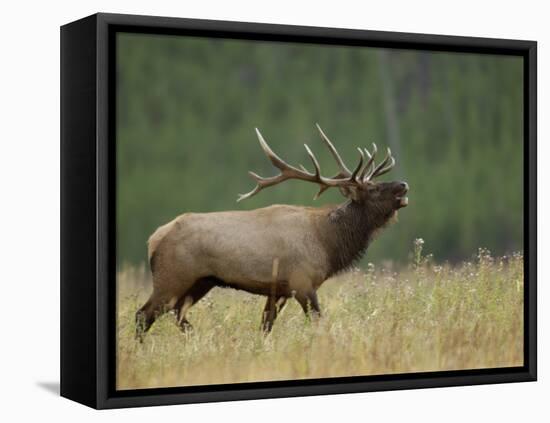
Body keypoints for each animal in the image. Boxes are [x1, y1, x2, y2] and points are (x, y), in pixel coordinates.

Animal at [135, 124, 408, 340]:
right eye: (372, 189)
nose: (404, 185)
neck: (328, 242)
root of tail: (153, 239)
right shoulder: (302, 282)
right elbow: (318, 321)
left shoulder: (279, 290)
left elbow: (265, 326)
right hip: (171, 277)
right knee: (143, 315)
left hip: (201, 281)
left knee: (176, 314)